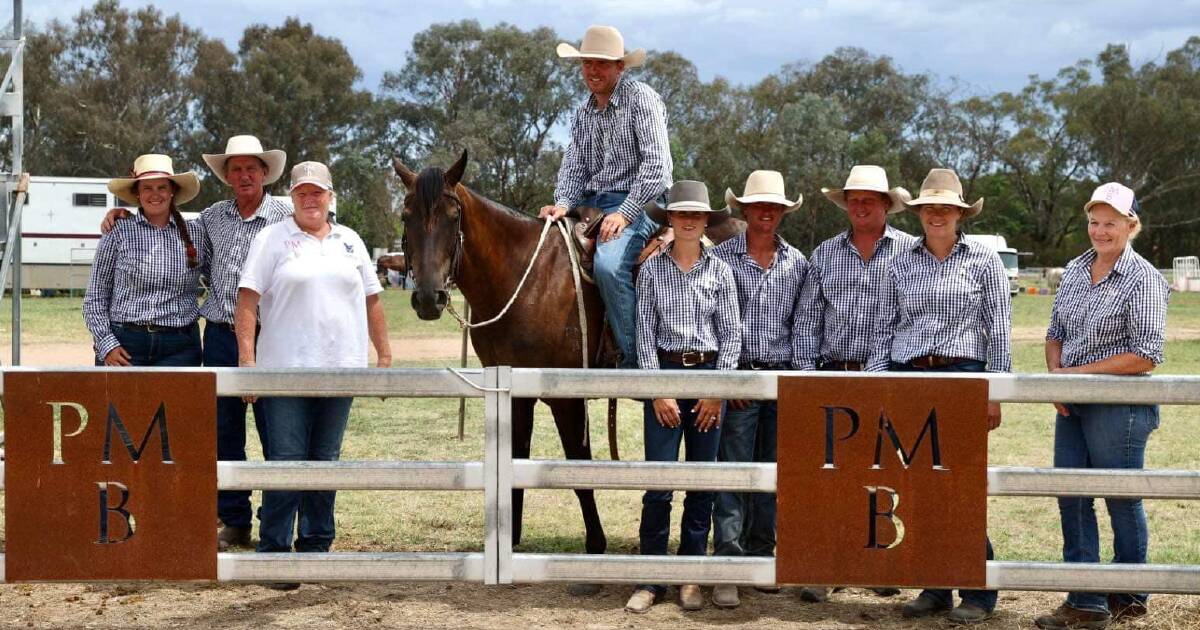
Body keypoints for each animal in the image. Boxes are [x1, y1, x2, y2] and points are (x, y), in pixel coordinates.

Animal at [396, 151, 609, 554]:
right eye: (405, 215)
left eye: (454, 216)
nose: (429, 298)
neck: (529, 278)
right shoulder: (514, 392)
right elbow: (514, 461)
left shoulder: (568, 399)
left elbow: (579, 469)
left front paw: (596, 545)